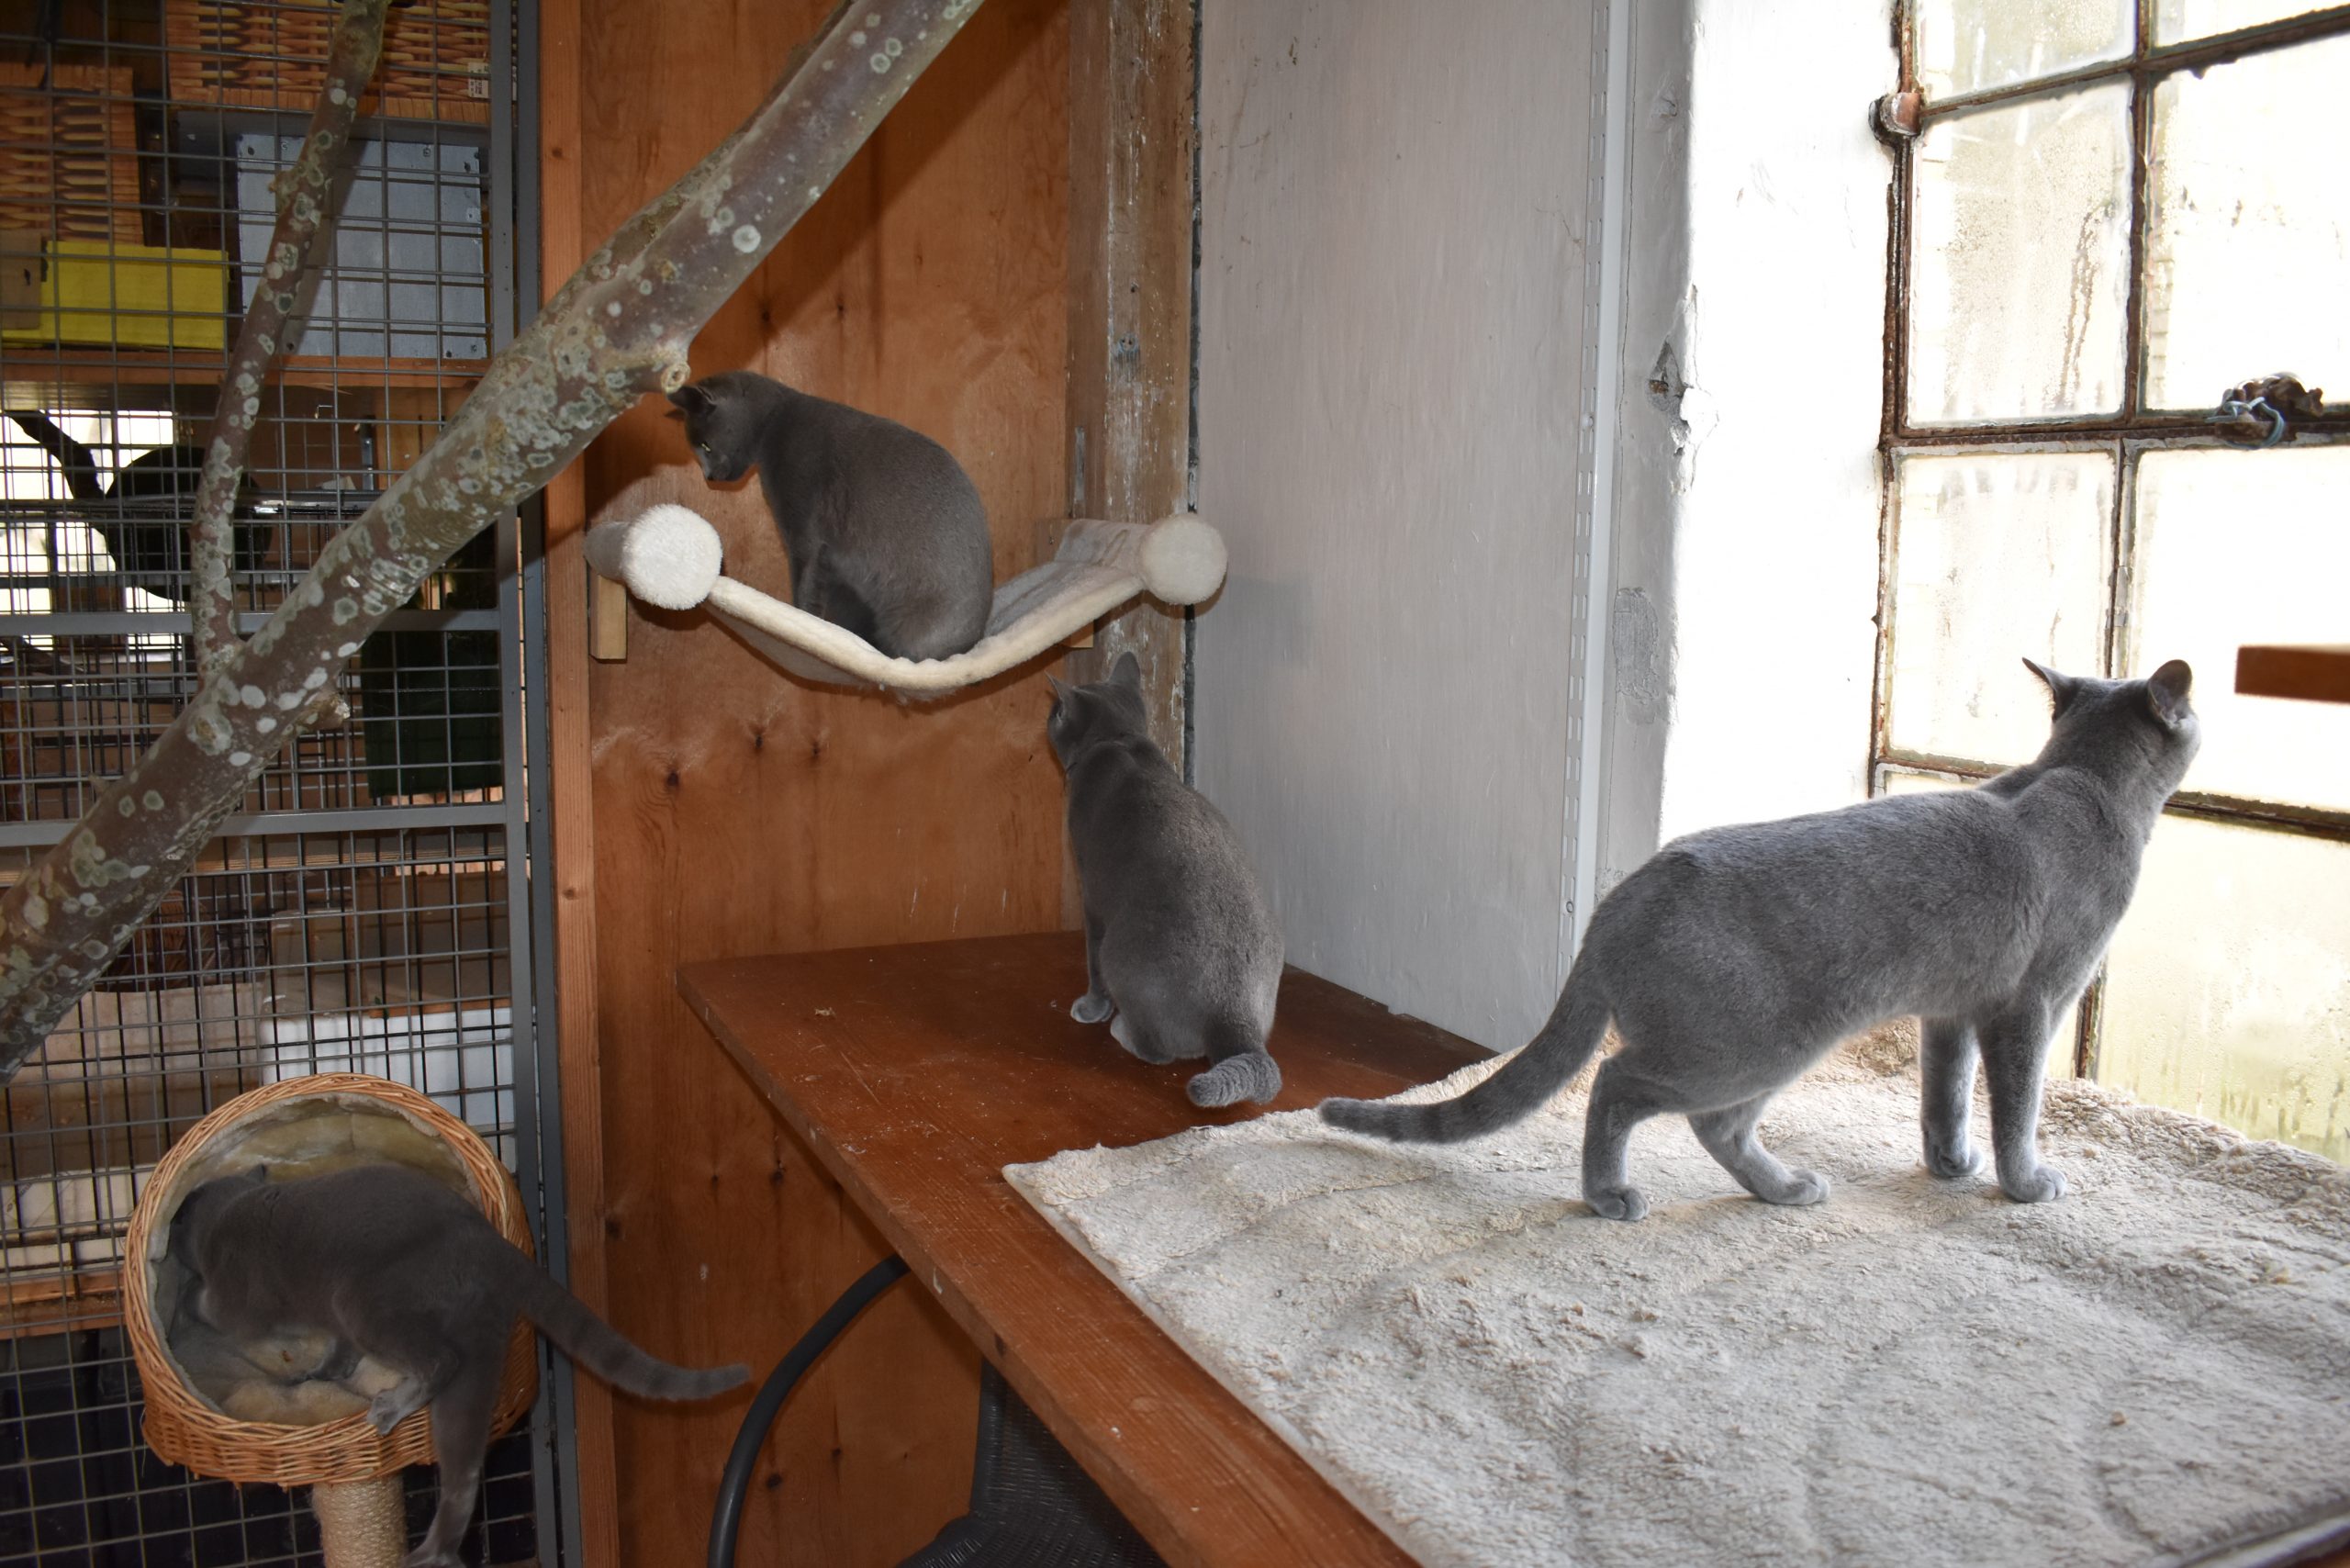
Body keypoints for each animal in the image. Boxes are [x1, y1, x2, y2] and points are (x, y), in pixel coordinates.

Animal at [171, 1166, 742, 1568]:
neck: (229, 1211)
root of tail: (486, 1241)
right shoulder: (332, 1330)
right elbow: (338, 1353)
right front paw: (320, 1373)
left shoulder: (237, 1301)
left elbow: (212, 1307)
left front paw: (181, 1302)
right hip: (477, 1344)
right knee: (464, 1469)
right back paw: (433, 1553)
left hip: (365, 1300)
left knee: (438, 1360)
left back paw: (392, 1408)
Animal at [672, 374, 991, 663]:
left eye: (706, 445)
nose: (708, 477)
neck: (774, 424)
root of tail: (971, 642)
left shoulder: (803, 534)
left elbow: (804, 588)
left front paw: (802, 624)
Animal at [1047, 648, 1278, 1104]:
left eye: (1056, 711)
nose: (1047, 715)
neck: (1118, 739)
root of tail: (1233, 1013)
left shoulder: (1091, 896)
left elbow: (1090, 961)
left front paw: (1091, 1010)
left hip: (1119, 953)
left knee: (1158, 1051)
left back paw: (1121, 1029)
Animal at [1325, 658, 2199, 1222]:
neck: (2082, 779)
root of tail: (1616, 905)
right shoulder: (2032, 1005)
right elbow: (2016, 1108)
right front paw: (2027, 1184)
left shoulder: (1951, 1012)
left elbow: (1944, 1100)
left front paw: (1950, 1168)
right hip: (1761, 1044)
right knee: (1619, 1085)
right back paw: (1610, 1196)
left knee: (1714, 1126)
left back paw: (1781, 1190)